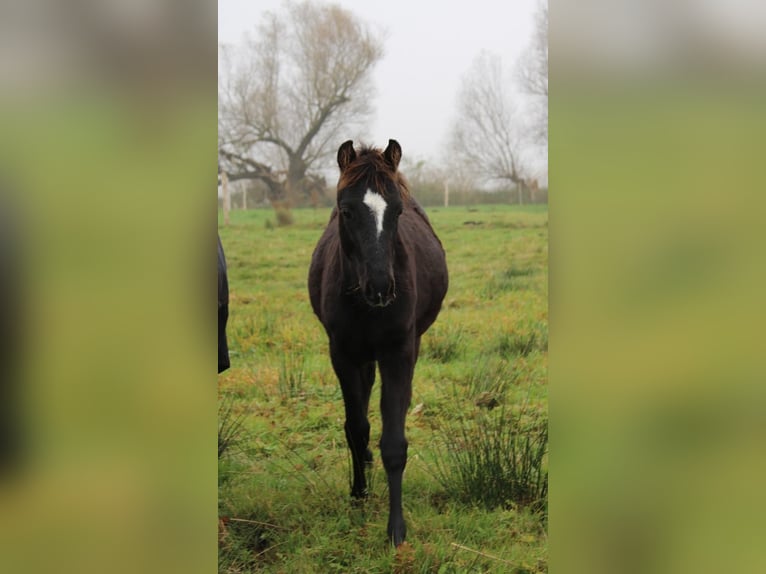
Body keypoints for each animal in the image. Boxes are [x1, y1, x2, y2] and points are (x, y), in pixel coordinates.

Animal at [308, 141, 448, 548]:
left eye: (397, 211)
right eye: (346, 210)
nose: (382, 287)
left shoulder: (398, 353)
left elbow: (394, 442)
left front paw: (396, 529)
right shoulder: (342, 354)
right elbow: (356, 427)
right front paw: (359, 494)